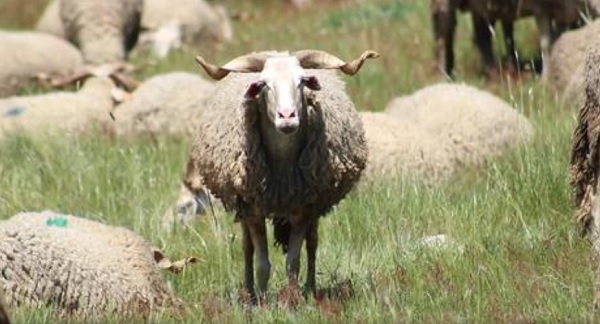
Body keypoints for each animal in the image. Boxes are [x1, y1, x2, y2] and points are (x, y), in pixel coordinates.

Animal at [183, 49, 378, 300]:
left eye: (303, 81)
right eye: (263, 84)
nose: (287, 116)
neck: (282, 169)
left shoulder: (303, 208)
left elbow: (293, 261)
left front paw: (293, 299)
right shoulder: (253, 209)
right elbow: (262, 264)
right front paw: (263, 300)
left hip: (315, 203)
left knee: (312, 244)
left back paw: (310, 288)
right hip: (242, 206)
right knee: (247, 248)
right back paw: (249, 292)